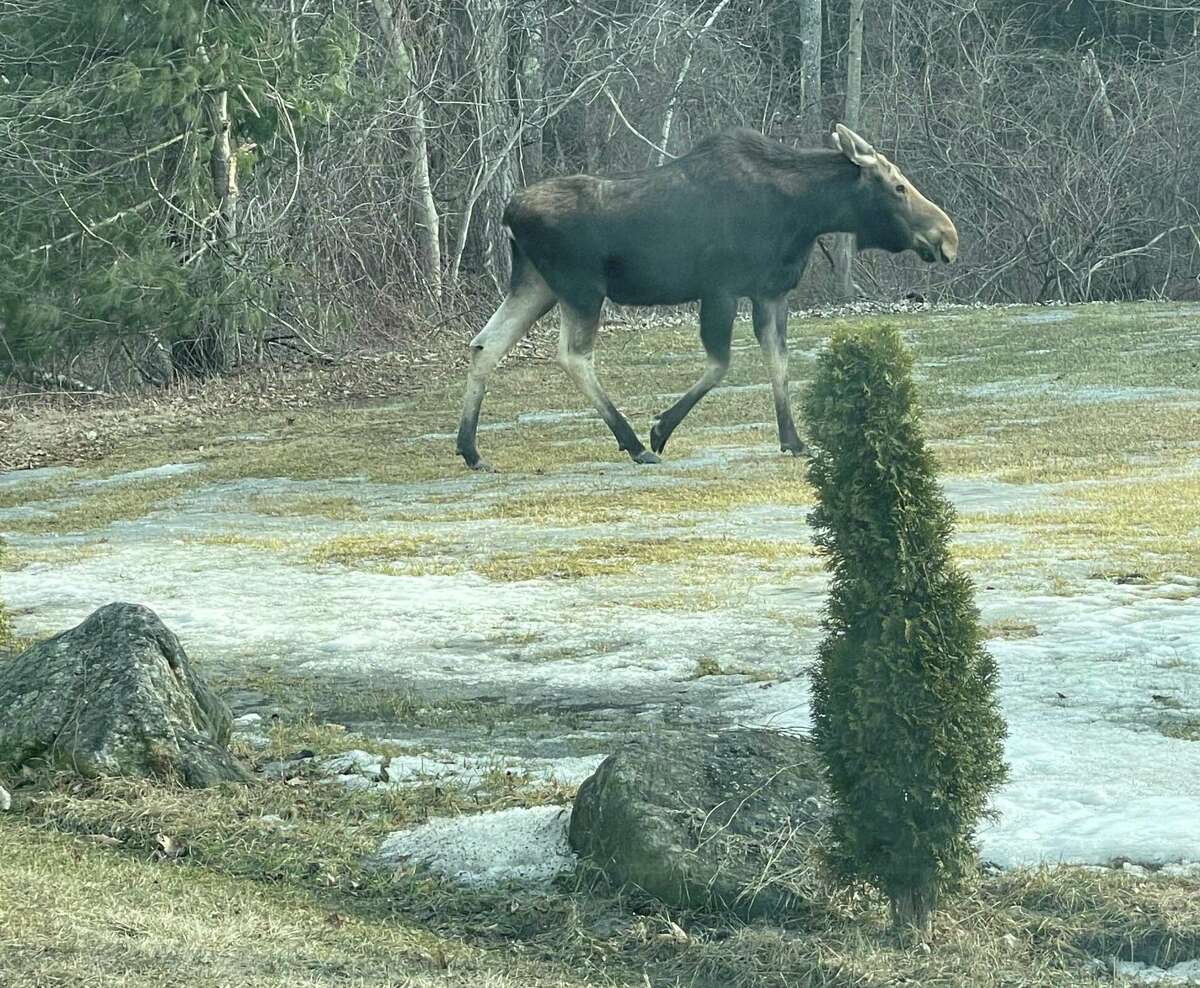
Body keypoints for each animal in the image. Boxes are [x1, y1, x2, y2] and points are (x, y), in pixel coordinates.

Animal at [455, 124, 958, 471]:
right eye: (898, 186)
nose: (948, 235)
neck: (805, 214)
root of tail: (508, 213)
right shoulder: (720, 288)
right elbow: (721, 364)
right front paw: (660, 429)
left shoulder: (770, 292)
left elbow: (779, 362)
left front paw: (793, 440)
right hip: (580, 287)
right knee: (573, 355)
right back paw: (635, 444)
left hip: (535, 284)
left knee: (485, 344)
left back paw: (471, 450)